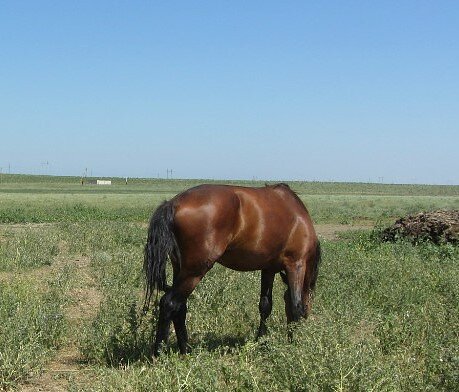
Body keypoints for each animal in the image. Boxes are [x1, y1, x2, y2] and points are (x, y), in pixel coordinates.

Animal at [144, 182, 320, 356]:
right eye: (309, 303)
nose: (307, 318)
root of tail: (173, 203)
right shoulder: (296, 264)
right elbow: (295, 306)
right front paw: (293, 347)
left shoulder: (268, 269)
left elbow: (265, 306)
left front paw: (261, 342)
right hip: (194, 271)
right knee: (169, 303)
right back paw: (159, 354)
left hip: (180, 269)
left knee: (180, 307)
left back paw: (186, 351)